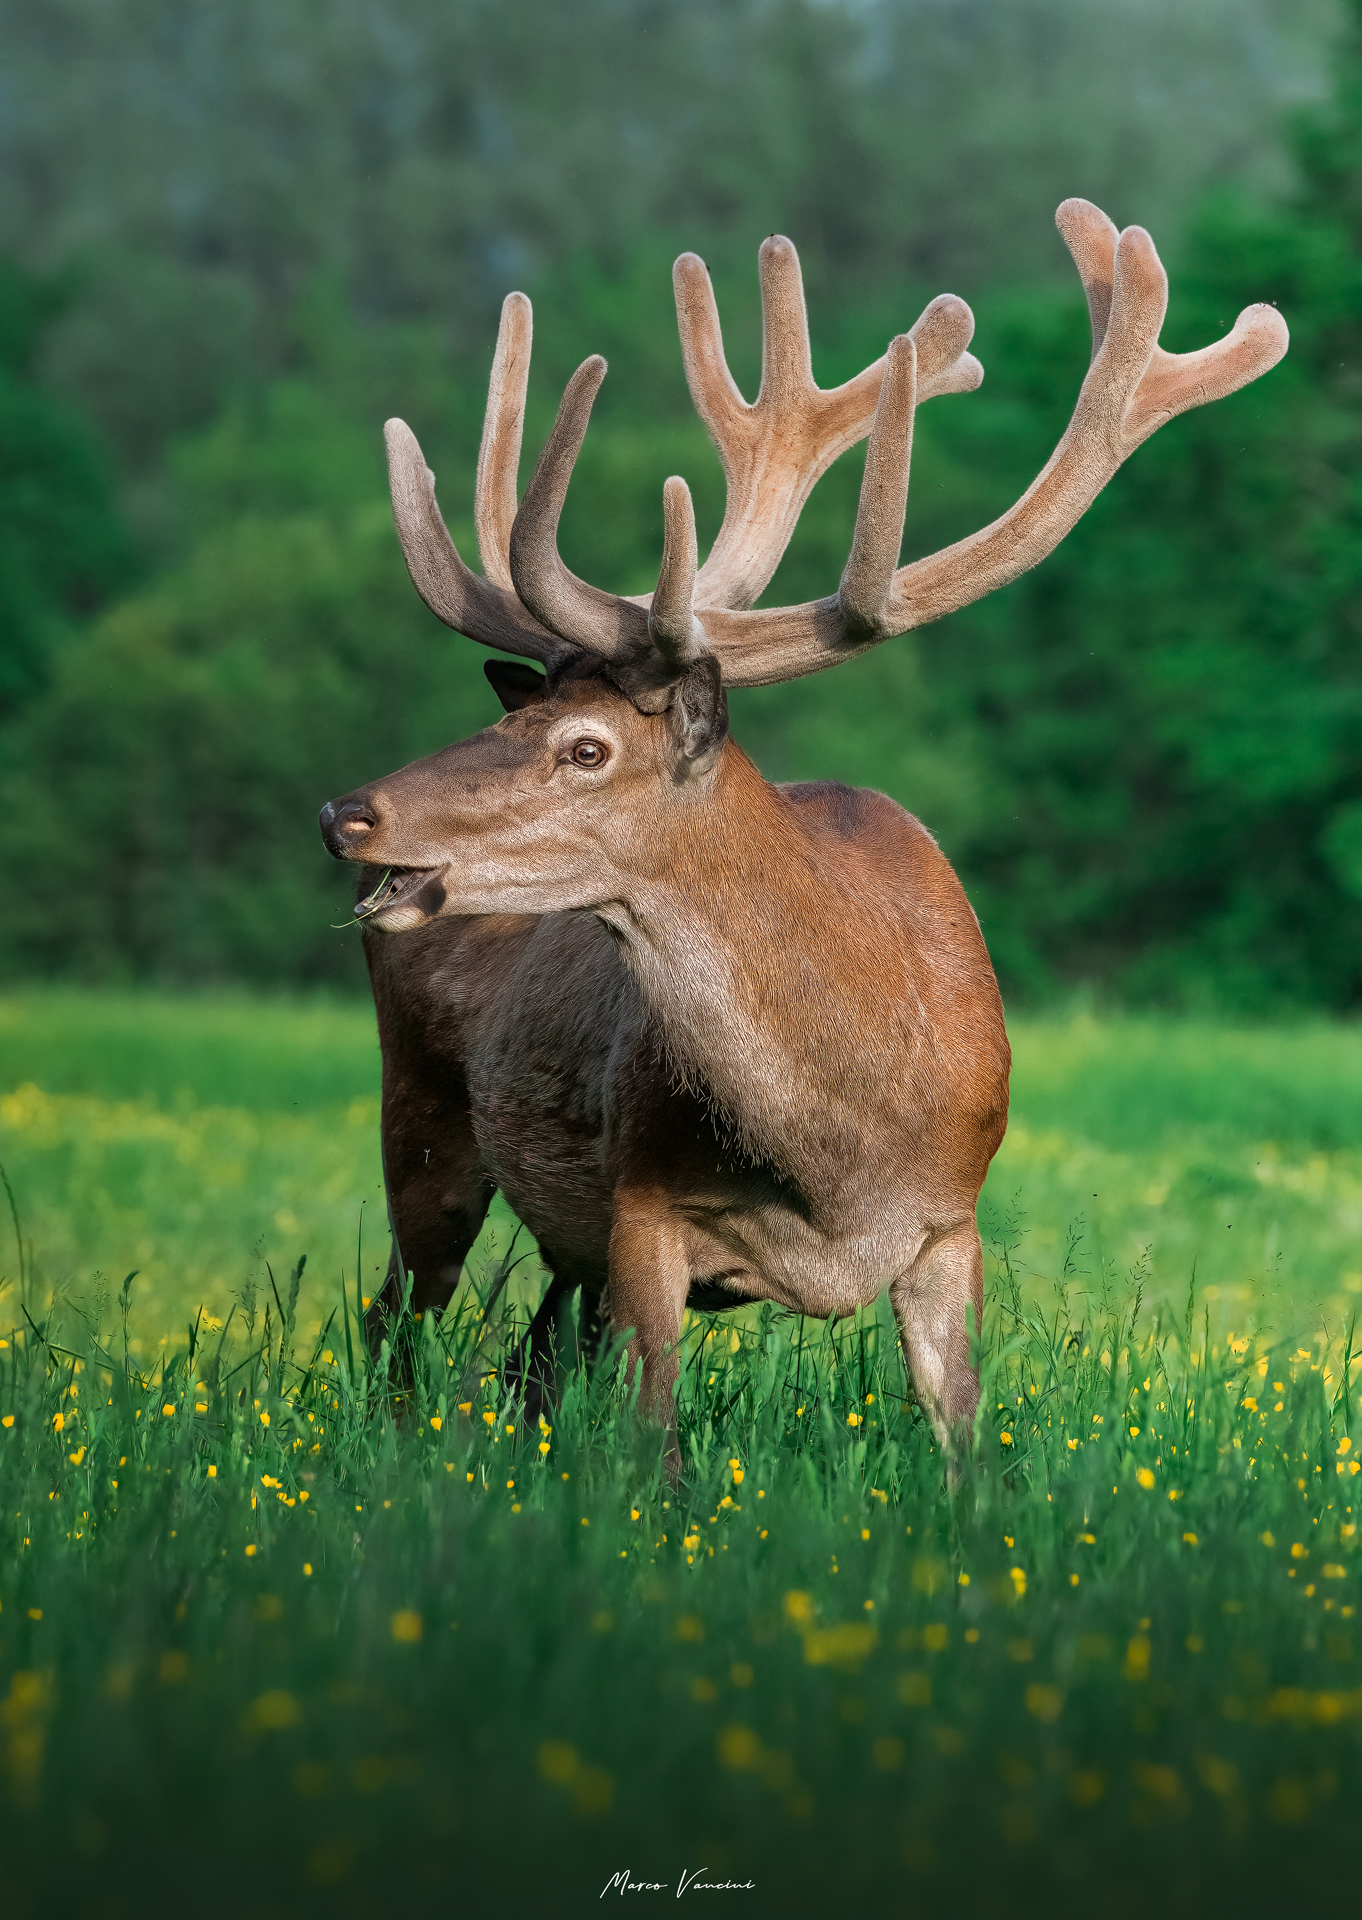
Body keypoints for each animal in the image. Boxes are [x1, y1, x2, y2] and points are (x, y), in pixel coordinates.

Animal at [319, 199, 1286, 1467]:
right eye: (514, 716)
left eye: (587, 747)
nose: (347, 811)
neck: (838, 1152)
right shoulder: (639, 1211)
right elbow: (659, 1440)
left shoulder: (951, 1226)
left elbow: (961, 1438)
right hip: (423, 1117)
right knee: (398, 1318)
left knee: (524, 1353)